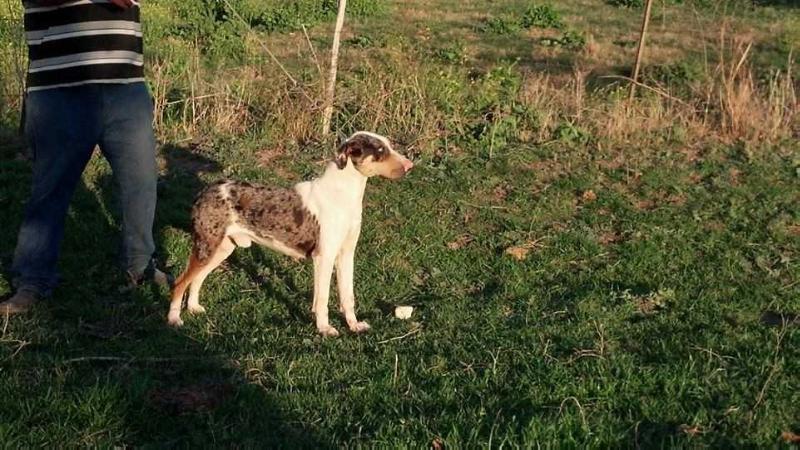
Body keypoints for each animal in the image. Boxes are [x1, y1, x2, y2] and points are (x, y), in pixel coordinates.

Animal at [168, 132, 412, 336]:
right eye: (380, 150)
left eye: (389, 145)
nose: (410, 166)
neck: (344, 194)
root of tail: (206, 190)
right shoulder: (324, 258)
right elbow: (322, 299)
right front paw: (324, 329)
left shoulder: (346, 255)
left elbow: (347, 296)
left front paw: (354, 325)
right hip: (207, 247)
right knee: (180, 281)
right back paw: (173, 319)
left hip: (221, 248)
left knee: (197, 278)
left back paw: (194, 308)